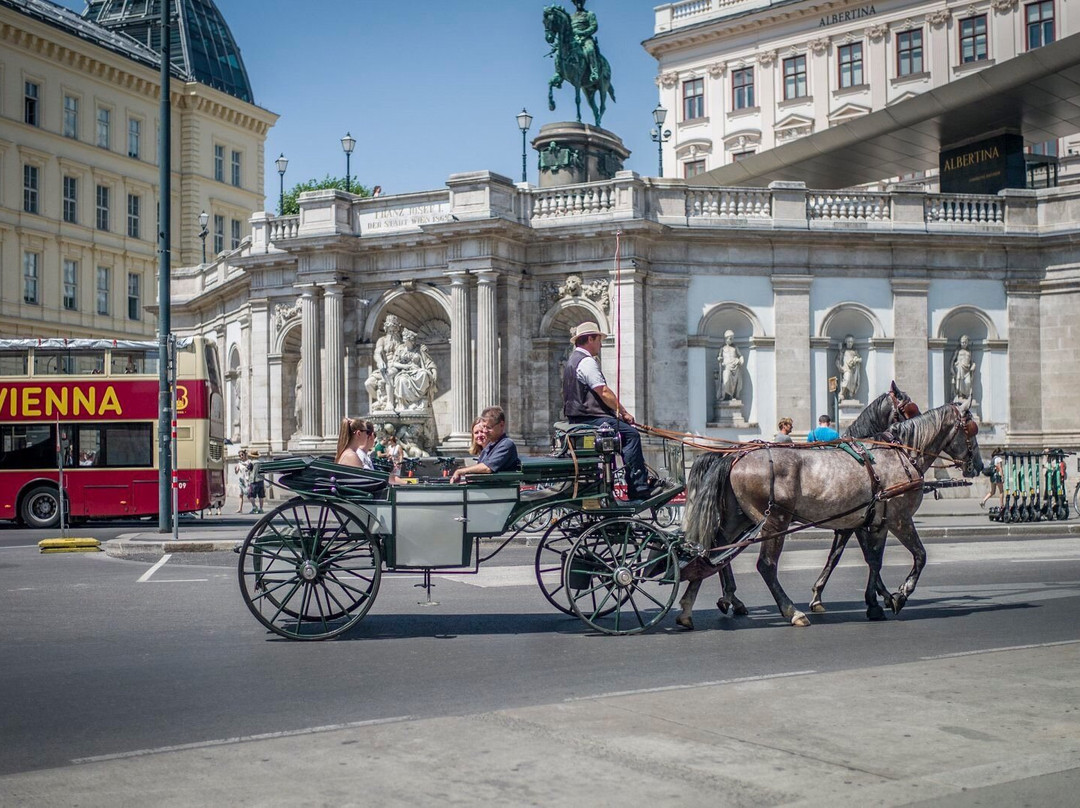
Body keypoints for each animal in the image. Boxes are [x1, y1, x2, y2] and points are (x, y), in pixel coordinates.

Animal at [678, 401, 984, 626]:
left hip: (736, 518)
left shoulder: (871, 522)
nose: (979, 465)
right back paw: (790, 611)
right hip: (774, 521)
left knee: (708, 555)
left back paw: (689, 609)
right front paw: (899, 594)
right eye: (971, 429)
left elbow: (870, 560)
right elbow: (919, 556)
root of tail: (734, 455)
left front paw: (874, 602)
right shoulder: (898, 519)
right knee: (764, 565)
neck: (899, 455)